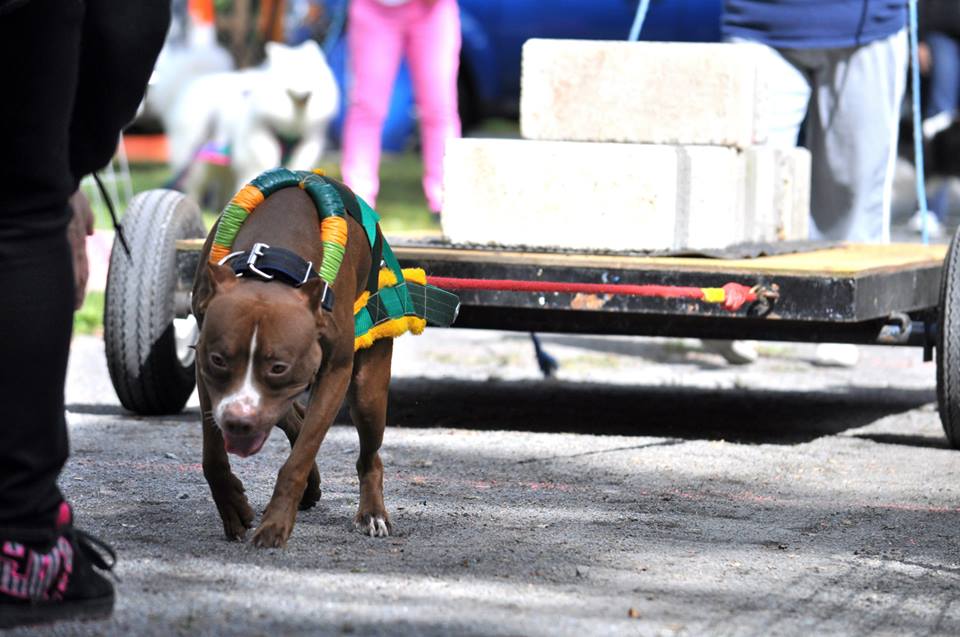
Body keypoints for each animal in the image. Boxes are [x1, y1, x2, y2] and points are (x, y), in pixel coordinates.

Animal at [167, 39, 340, 207]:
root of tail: (198, 78)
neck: (293, 120)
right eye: (292, 74)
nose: (307, 91)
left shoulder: (306, 145)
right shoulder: (256, 151)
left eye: (313, 75)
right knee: (194, 185)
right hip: (198, 159)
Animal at [189, 184, 392, 548]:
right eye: (219, 359)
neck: (270, 266)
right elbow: (212, 453)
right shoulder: (204, 371)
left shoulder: (335, 374)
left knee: (369, 455)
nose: (238, 420)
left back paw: (372, 513)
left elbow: (299, 457)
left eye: (278, 367)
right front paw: (231, 504)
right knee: (292, 416)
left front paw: (276, 523)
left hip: (368, 392)